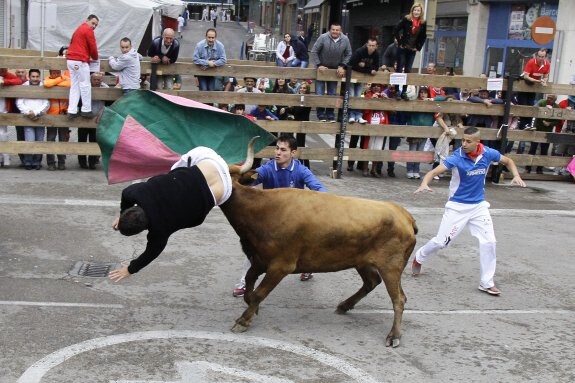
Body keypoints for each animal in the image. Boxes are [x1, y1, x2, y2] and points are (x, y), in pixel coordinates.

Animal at [222, 138, 418, 348]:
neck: (261, 210)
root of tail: (403, 214)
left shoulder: (280, 265)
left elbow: (260, 292)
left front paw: (243, 320)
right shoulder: (259, 259)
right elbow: (250, 279)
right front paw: (252, 306)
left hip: (391, 267)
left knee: (399, 299)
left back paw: (394, 335)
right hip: (362, 262)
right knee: (372, 282)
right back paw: (345, 305)